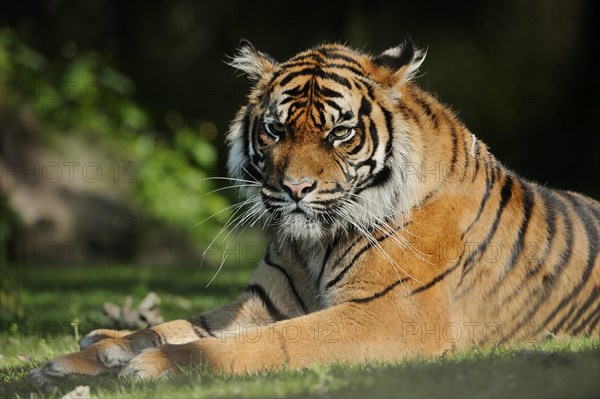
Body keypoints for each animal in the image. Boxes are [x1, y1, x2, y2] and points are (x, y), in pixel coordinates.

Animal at [32, 39, 600, 382]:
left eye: (340, 133)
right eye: (275, 129)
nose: (296, 188)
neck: (316, 242)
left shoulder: (388, 316)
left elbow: (264, 344)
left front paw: (153, 366)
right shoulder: (264, 304)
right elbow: (177, 323)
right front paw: (68, 361)